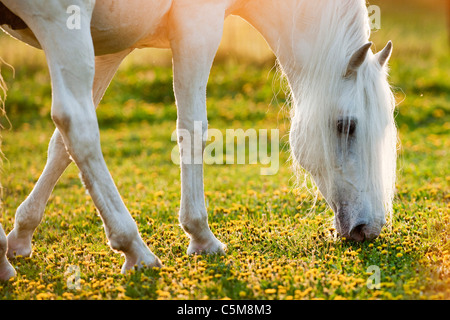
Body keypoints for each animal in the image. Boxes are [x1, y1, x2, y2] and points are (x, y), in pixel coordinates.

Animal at [0, 0, 396, 280]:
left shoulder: (108, 47)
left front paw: (22, 234)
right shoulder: (197, 26)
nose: (369, 227)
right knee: (78, 124)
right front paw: (201, 235)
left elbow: (59, 149)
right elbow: (193, 129)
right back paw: (135, 249)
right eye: (346, 126)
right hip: (59, 21)